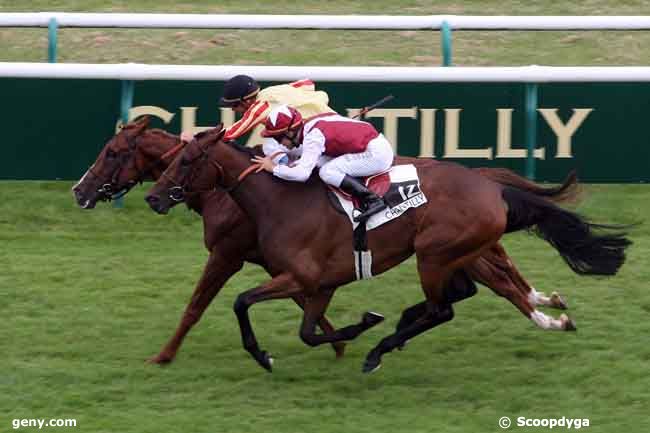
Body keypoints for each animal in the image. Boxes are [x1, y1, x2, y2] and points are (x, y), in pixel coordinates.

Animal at [73, 117, 572, 364]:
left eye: (113, 153)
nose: (80, 191)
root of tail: (486, 182)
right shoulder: (305, 276)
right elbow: (307, 323)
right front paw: (343, 339)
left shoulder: (234, 256)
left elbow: (211, 303)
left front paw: (166, 354)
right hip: (455, 252)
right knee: (486, 285)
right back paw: (551, 312)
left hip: (435, 255)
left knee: (454, 302)